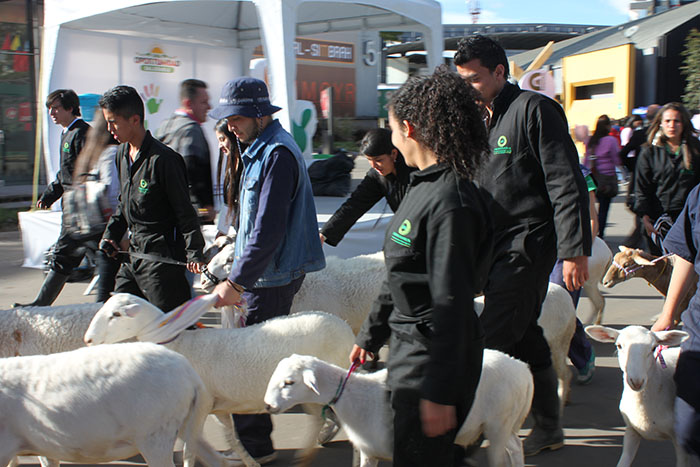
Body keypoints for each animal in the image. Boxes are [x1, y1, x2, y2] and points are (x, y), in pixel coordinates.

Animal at [85, 294, 358, 466]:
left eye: (116, 314)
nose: (88, 340)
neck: (179, 345)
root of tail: (343, 326)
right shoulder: (218, 407)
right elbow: (231, 438)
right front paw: (248, 462)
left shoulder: (201, 405)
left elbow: (190, 447)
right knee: (321, 416)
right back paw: (318, 442)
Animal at [266, 352, 532, 466]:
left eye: (289, 382)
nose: (268, 406)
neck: (356, 397)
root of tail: (522, 368)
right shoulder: (368, 451)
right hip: (504, 423)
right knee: (515, 447)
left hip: (498, 424)